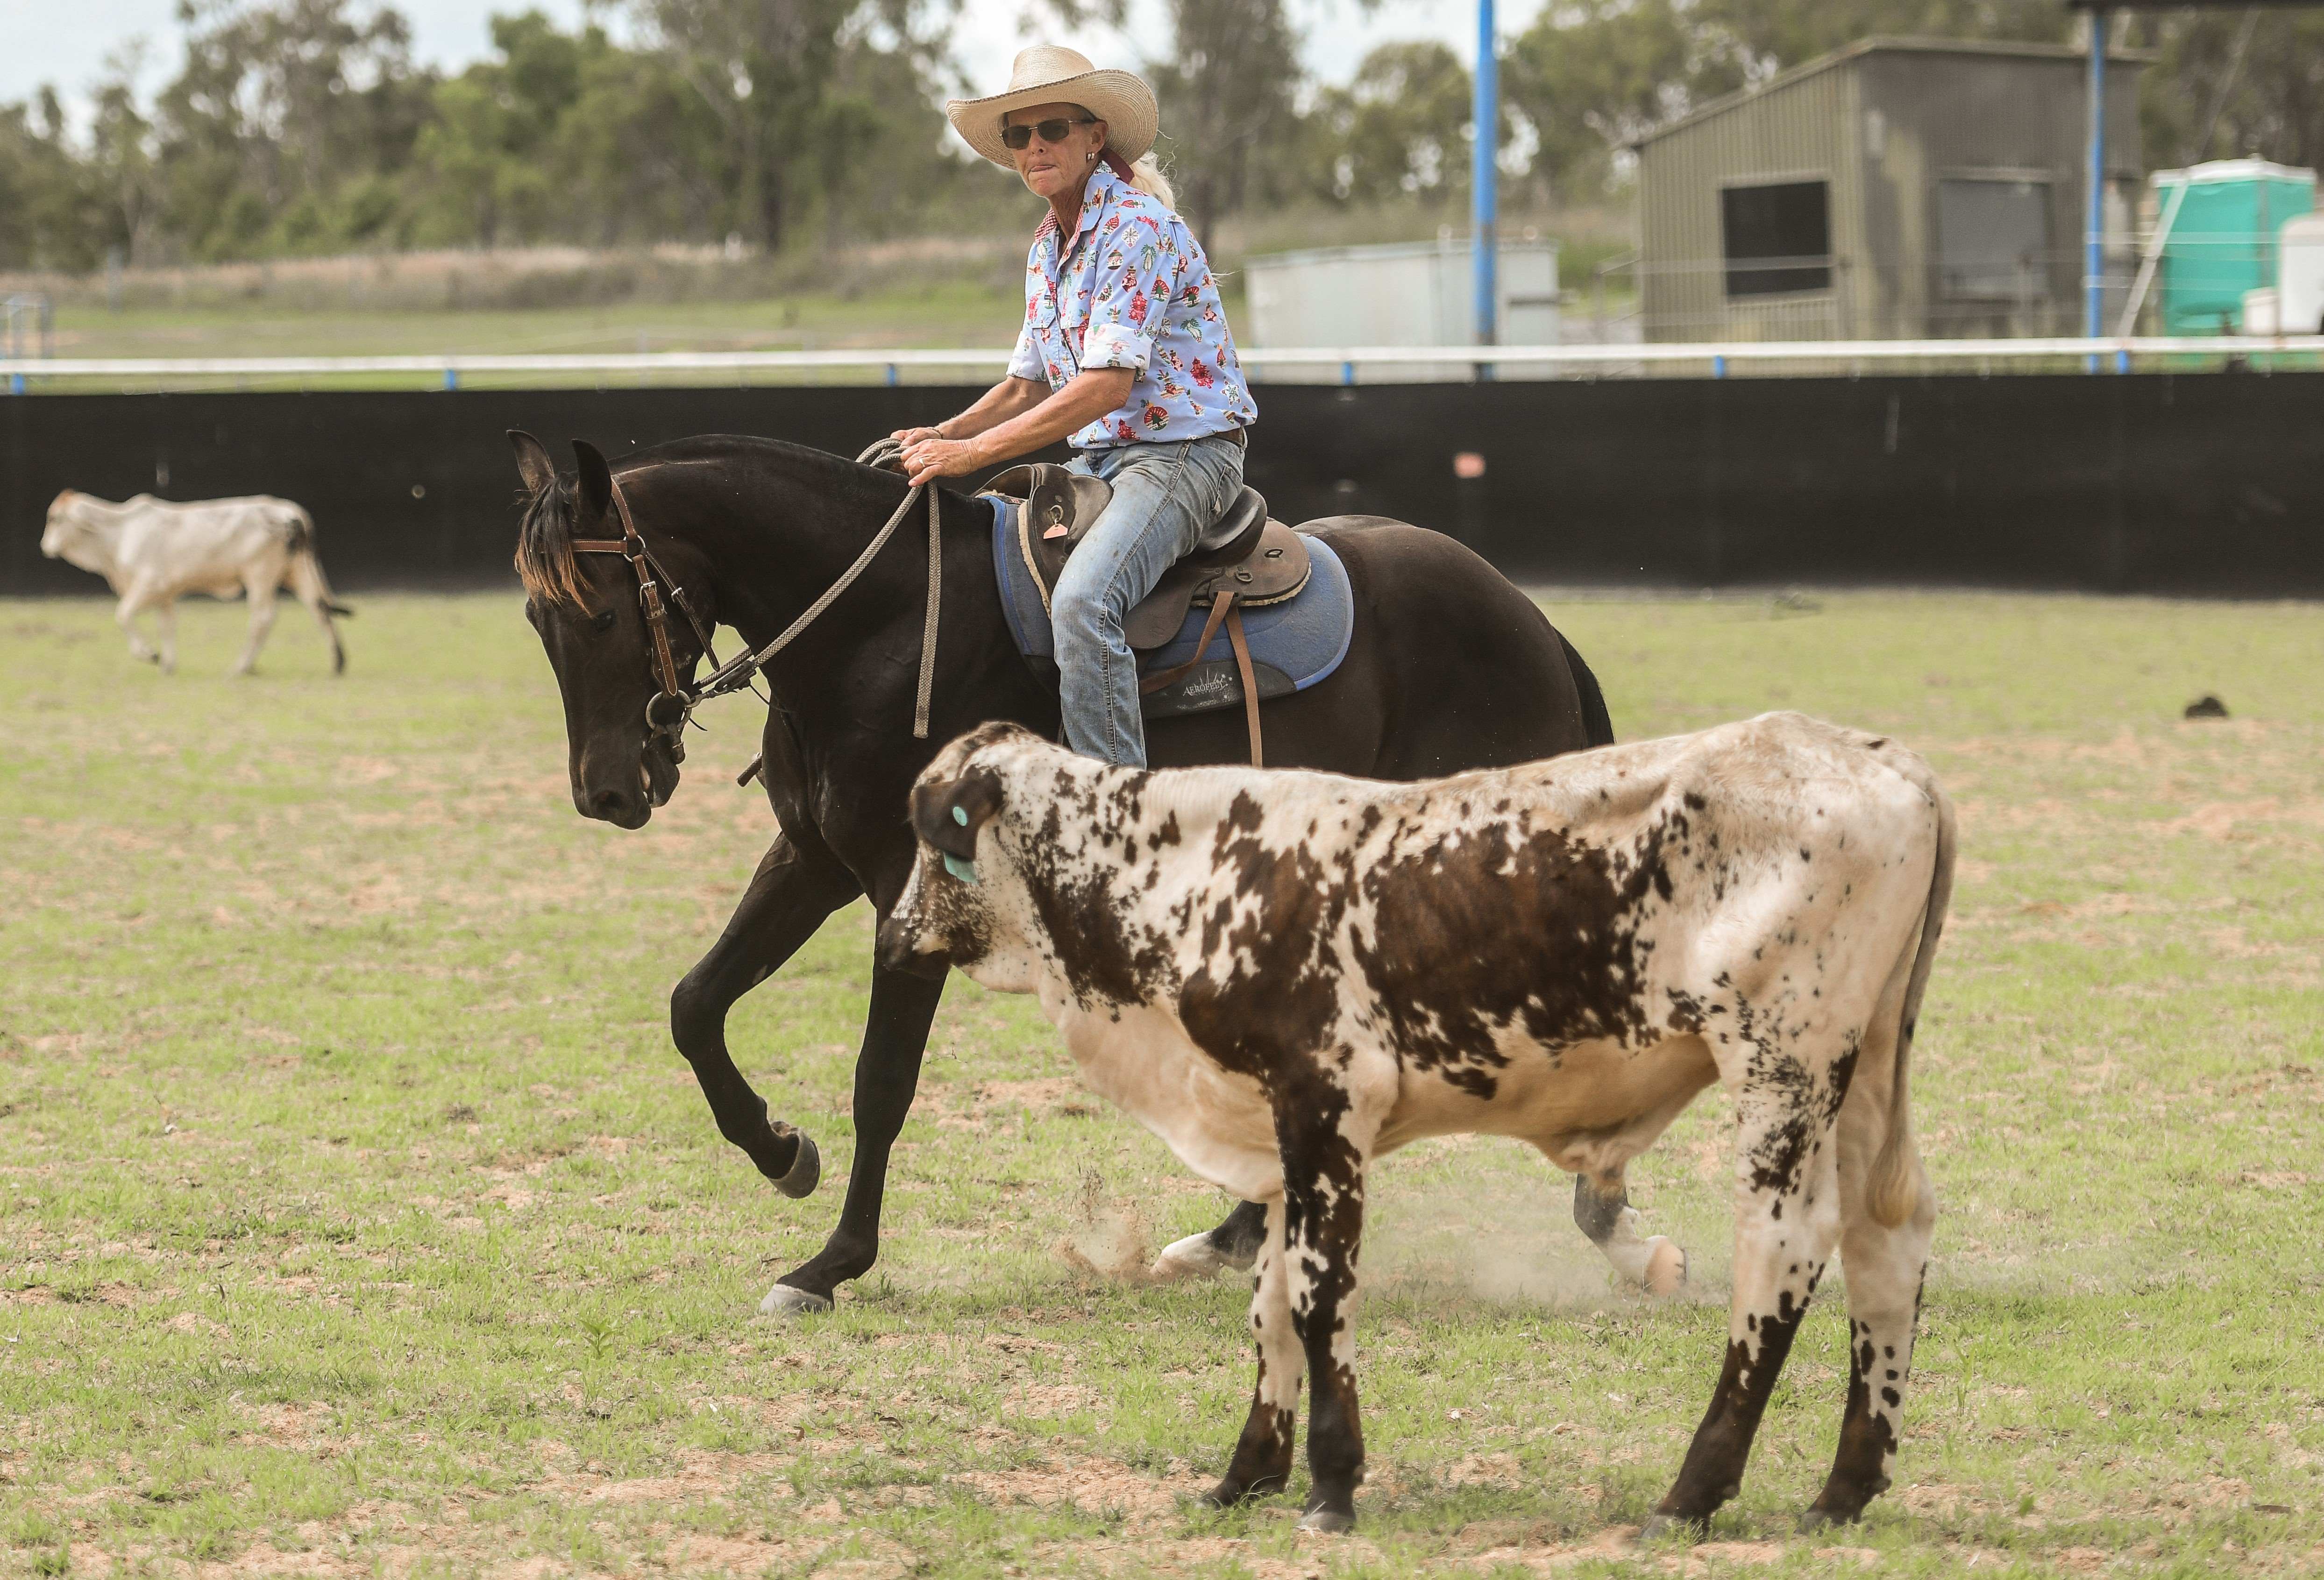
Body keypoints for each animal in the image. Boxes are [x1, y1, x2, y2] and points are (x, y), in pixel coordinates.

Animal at [508, 430, 1616, 1315]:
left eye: (600, 614)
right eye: (535, 621)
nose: (606, 790)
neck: (877, 628)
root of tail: (1533, 621)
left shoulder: (914, 896)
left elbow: (881, 1082)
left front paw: (829, 1264)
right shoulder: (811, 860)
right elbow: (695, 1005)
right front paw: (783, 1154)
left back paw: (1598, 1203)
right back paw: (1237, 1233)